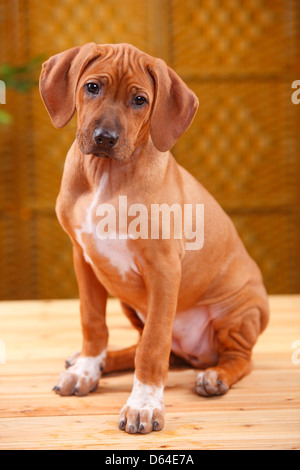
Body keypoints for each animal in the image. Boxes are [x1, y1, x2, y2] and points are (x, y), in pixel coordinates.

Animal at [39, 43, 270, 434]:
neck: (106, 174)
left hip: (240, 311)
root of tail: (196, 354)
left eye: (140, 100)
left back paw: (215, 376)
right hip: (128, 303)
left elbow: (152, 346)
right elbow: (93, 323)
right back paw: (101, 362)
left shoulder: (163, 269)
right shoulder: (83, 257)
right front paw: (86, 368)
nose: (105, 138)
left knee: (237, 357)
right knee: (151, 348)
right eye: (92, 87)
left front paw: (144, 404)